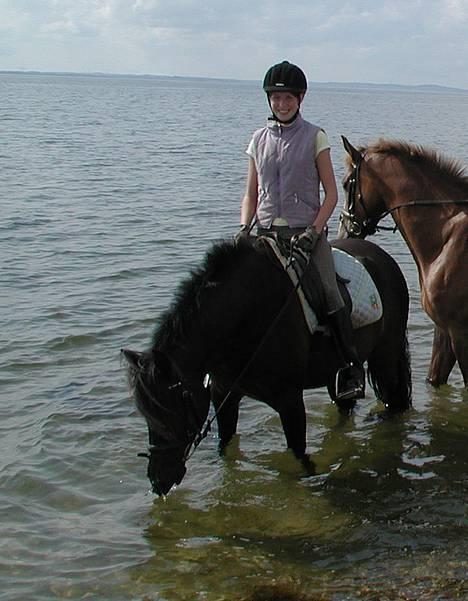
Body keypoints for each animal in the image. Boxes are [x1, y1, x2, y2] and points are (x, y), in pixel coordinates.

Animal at [122, 237, 412, 494]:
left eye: (172, 409)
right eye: (147, 414)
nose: (158, 480)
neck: (245, 317)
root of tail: (384, 258)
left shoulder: (290, 401)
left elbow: (300, 459)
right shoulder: (224, 394)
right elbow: (225, 448)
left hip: (386, 355)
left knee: (393, 402)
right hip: (337, 374)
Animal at [340, 137, 468, 386]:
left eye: (344, 184)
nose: (344, 229)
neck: (446, 236)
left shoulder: (460, 332)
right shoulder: (445, 330)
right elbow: (433, 379)